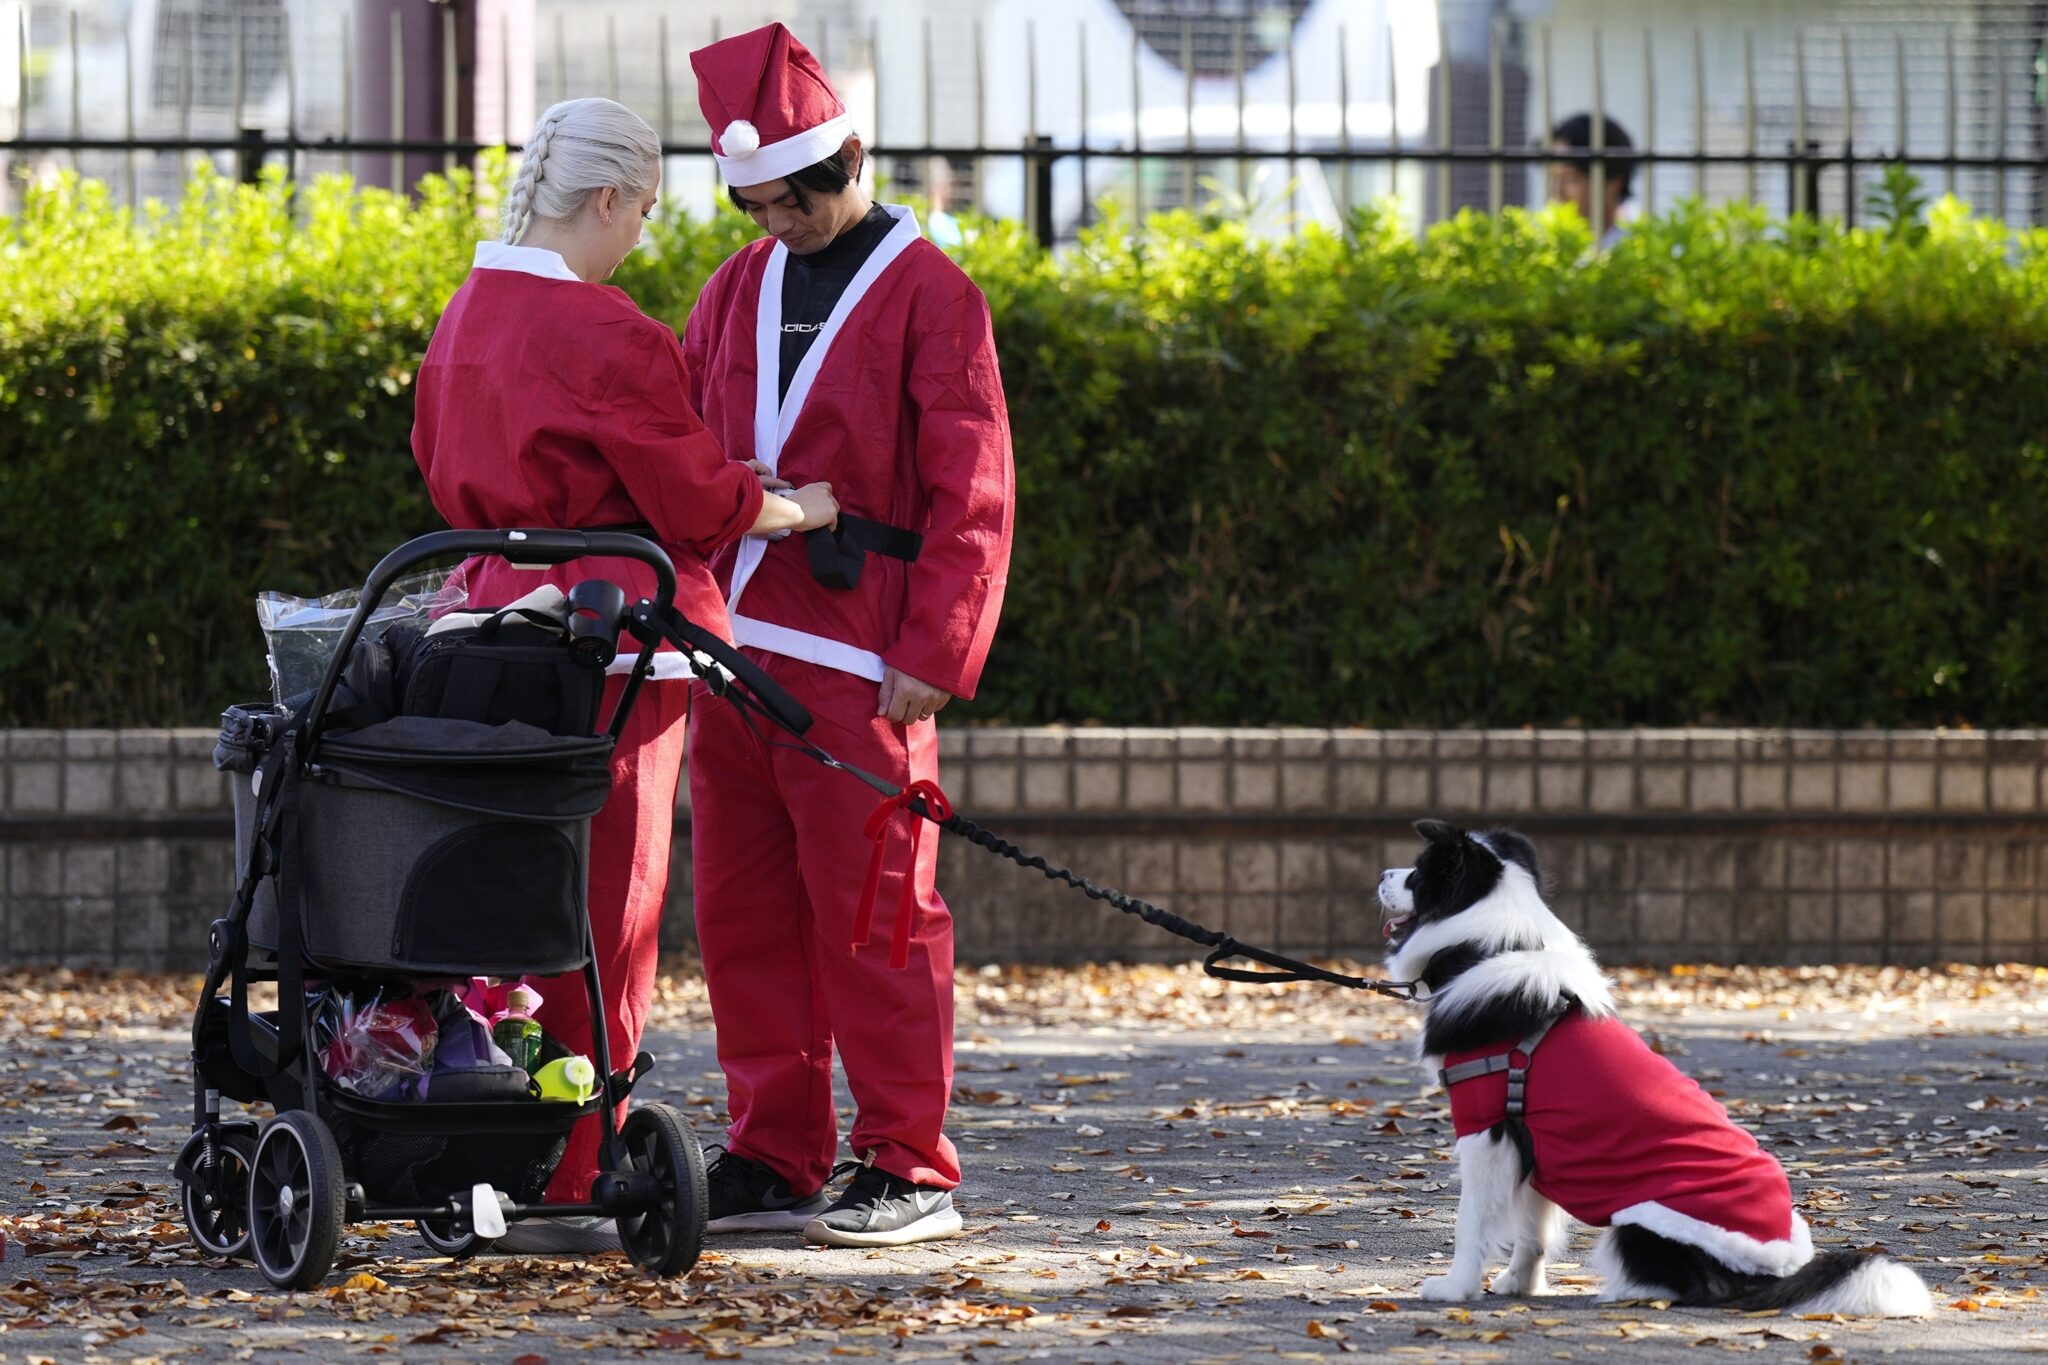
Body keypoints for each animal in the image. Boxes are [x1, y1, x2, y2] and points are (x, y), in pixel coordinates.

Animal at [1376, 818, 1933, 1317]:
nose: (1382, 872)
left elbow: (1472, 1222)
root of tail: (1773, 1274)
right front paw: (1520, 1284)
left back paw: (1625, 1291)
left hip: (1641, 1225)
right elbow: (1533, 1227)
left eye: (1418, 872)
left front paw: (1454, 1289)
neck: (1487, 947)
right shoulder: (1532, 1140)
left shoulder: (1487, 1128)